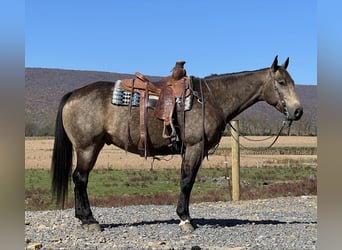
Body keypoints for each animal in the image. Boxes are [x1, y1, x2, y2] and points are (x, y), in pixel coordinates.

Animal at [50, 55, 302, 231]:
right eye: (281, 82)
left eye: (292, 82)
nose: (298, 111)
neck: (212, 99)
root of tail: (74, 94)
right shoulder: (194, 147)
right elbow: (187, 181)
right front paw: (185, 219)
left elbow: (185, 180)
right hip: (88, 148)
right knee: (80, 179)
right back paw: (89, 220)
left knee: (79, 179)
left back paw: (84, 218)